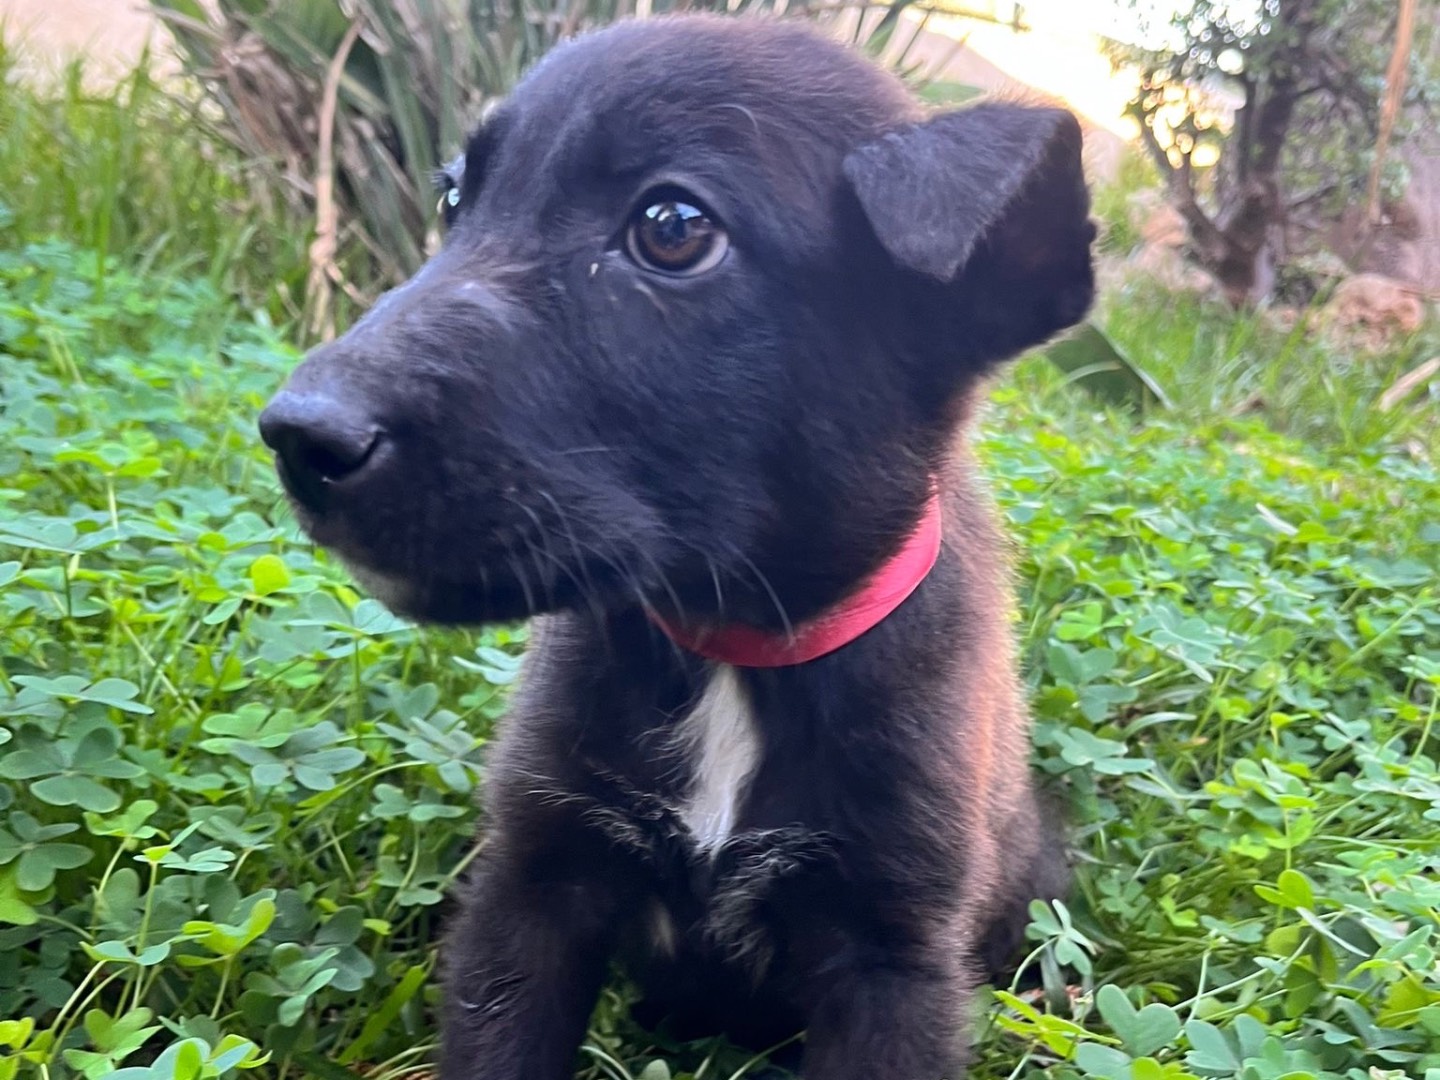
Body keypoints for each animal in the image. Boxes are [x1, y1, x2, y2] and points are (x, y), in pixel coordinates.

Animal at [256, 12, 1088, 1077]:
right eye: (453, 200)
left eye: (673, 228)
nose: (299, 437)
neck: (730, 651)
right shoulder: (532, 887)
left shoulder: (891, 957)